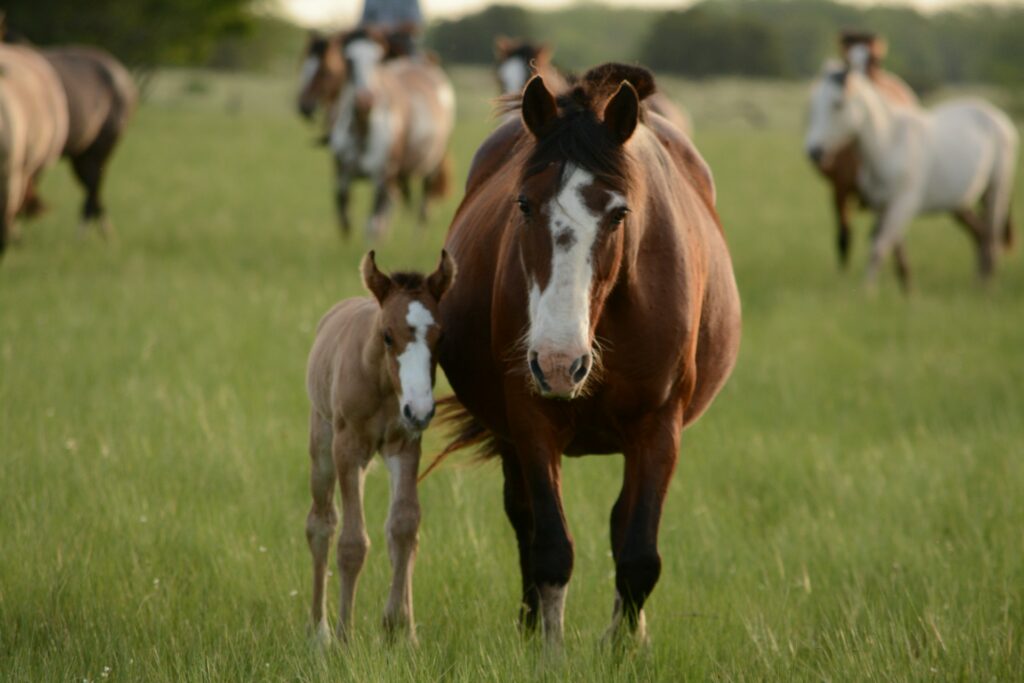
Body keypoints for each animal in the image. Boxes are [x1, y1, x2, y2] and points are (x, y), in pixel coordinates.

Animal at [303, 250, 456, 647]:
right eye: (388, 335)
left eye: (441, 335)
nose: (420, 410)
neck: (384, 385)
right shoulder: (348, 449)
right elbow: (352, 542)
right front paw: (344, 637)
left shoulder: (406, 446)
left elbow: (403, 527)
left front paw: (400, 629)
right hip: (322, 445)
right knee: (321, 523)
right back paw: (319, 631)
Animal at [428, 63, 741, 647]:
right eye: (524, 205)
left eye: (619, 214)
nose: (558, 363)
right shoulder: (531, 421)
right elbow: (551, 547)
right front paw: (546, 648)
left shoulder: (659, 428)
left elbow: (638, 555)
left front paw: (623, 649)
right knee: (524, 518)